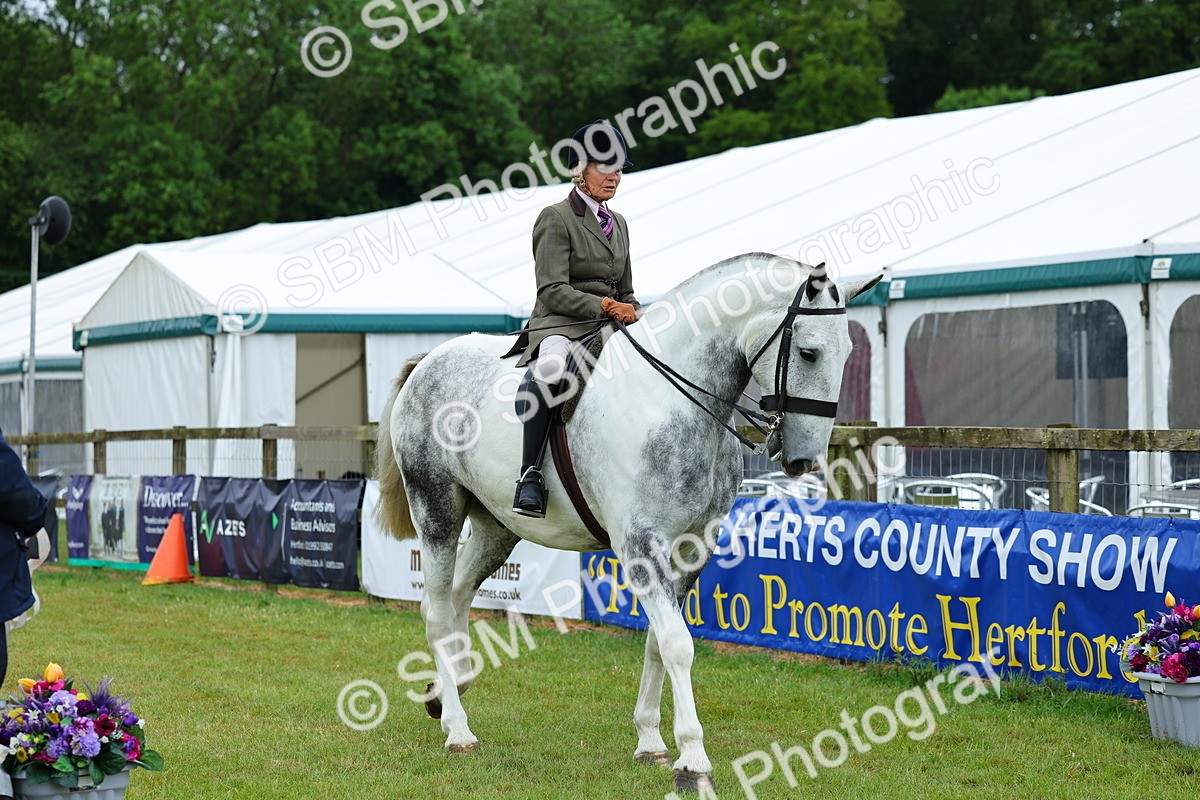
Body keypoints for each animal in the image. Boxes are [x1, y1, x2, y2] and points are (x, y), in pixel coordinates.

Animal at [374, 252, 881, 793]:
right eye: (808, 353)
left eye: (849, 352)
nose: (805, 460)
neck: (670, 401)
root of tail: (428, 361)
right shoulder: (641, 546)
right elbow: (677, 645)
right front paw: (693, 763)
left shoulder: (692, 547)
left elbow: (660, 642)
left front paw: (652, 743)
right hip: (436, 510)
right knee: (435, 609)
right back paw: (457, 728)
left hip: (496, 527)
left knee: (458, 598)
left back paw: (447, 689)